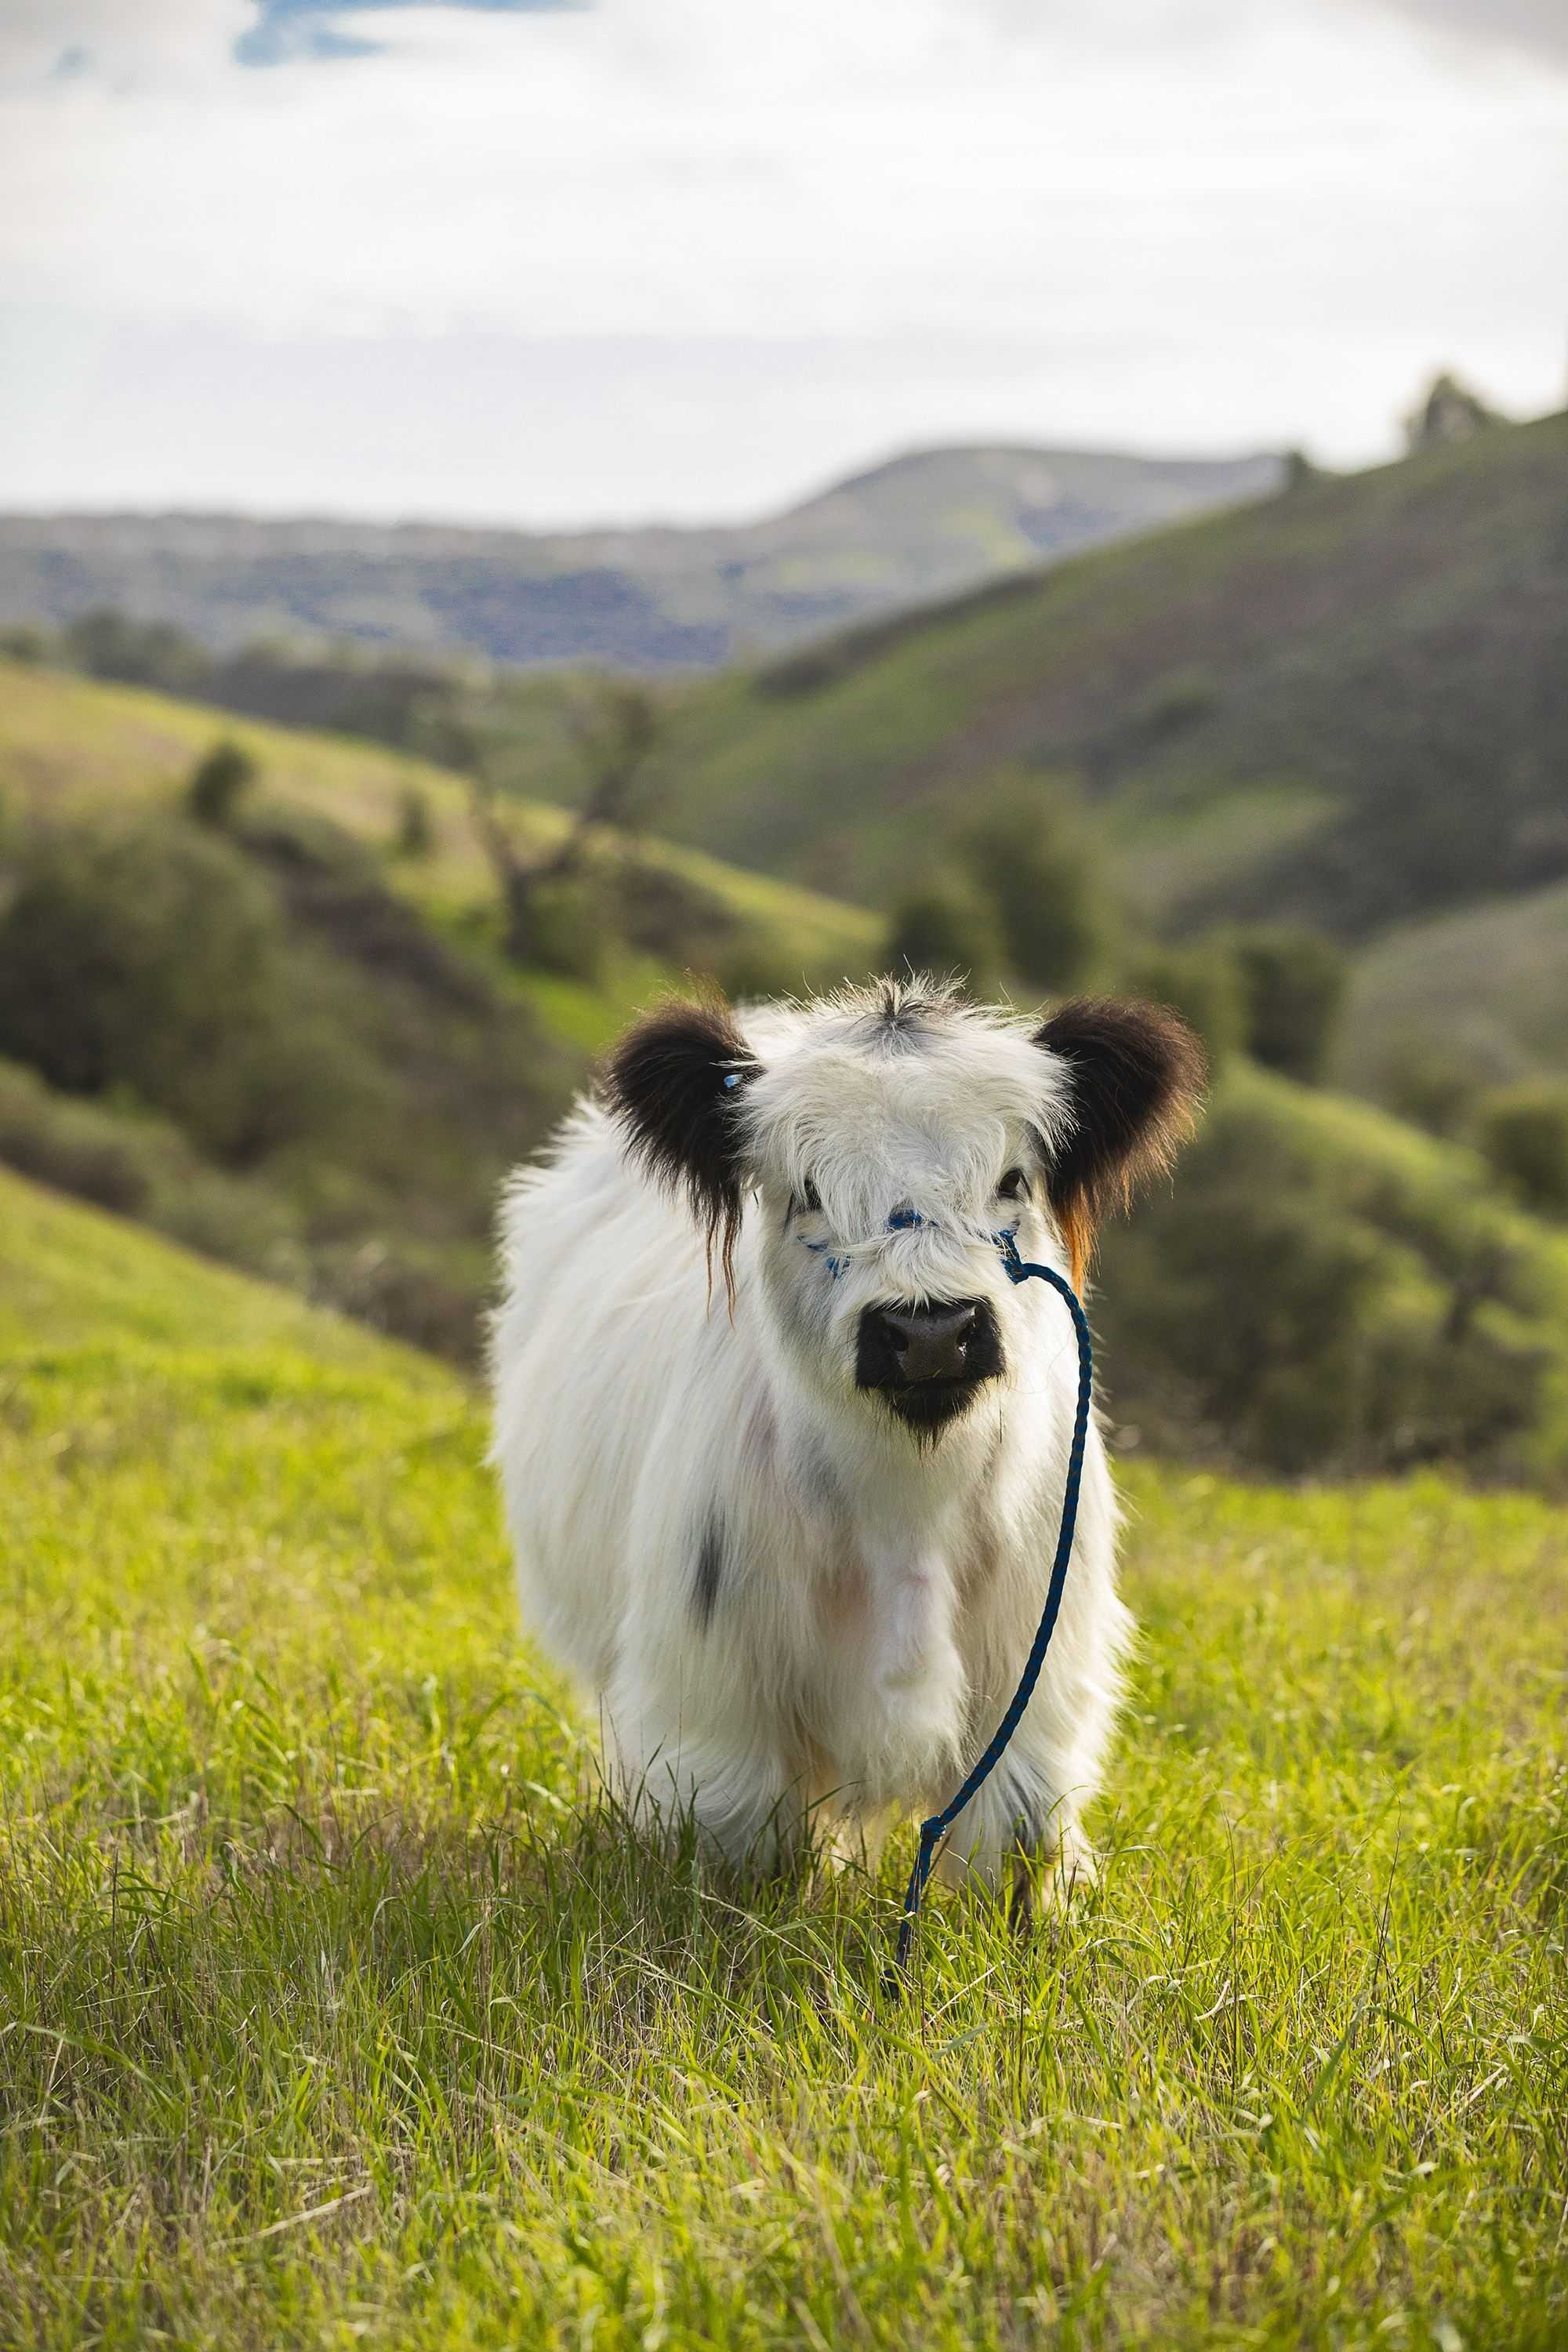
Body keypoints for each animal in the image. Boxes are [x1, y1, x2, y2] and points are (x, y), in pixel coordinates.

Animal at [493, 974, 1203, 1891]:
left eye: (1012, 1178)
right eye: (805, 1191)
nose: (931, 1330)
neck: (909, 1500)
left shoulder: (1033, 1680)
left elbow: (1015, 1839)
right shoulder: (716, 1691)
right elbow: (731, 1838)